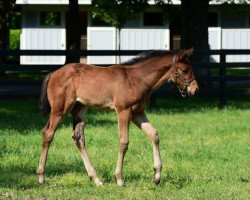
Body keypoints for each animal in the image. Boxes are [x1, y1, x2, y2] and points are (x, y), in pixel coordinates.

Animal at [36, 48, 198, 186]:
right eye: (184, 70)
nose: (195, 89)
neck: (136, 79)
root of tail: (53, 74)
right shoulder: (123, 111)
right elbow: (123, 142)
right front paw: (119, 178)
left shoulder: (138, 113)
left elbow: (154, 134)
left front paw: (157, 176)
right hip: (60, 109)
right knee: (47, 133)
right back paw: (41, 177)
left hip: (79, 109)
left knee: (78, 137)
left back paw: (96, 179)